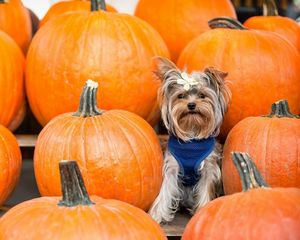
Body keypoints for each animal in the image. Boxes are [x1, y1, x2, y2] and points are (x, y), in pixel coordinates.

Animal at [149, 57, 231, 224]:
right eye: (181, 96)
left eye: (202, 95)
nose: (191, 105)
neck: (192, 132)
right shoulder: (172, 167)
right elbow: (165, 190)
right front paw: (157, 215)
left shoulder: (209, 168)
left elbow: (206, 189)